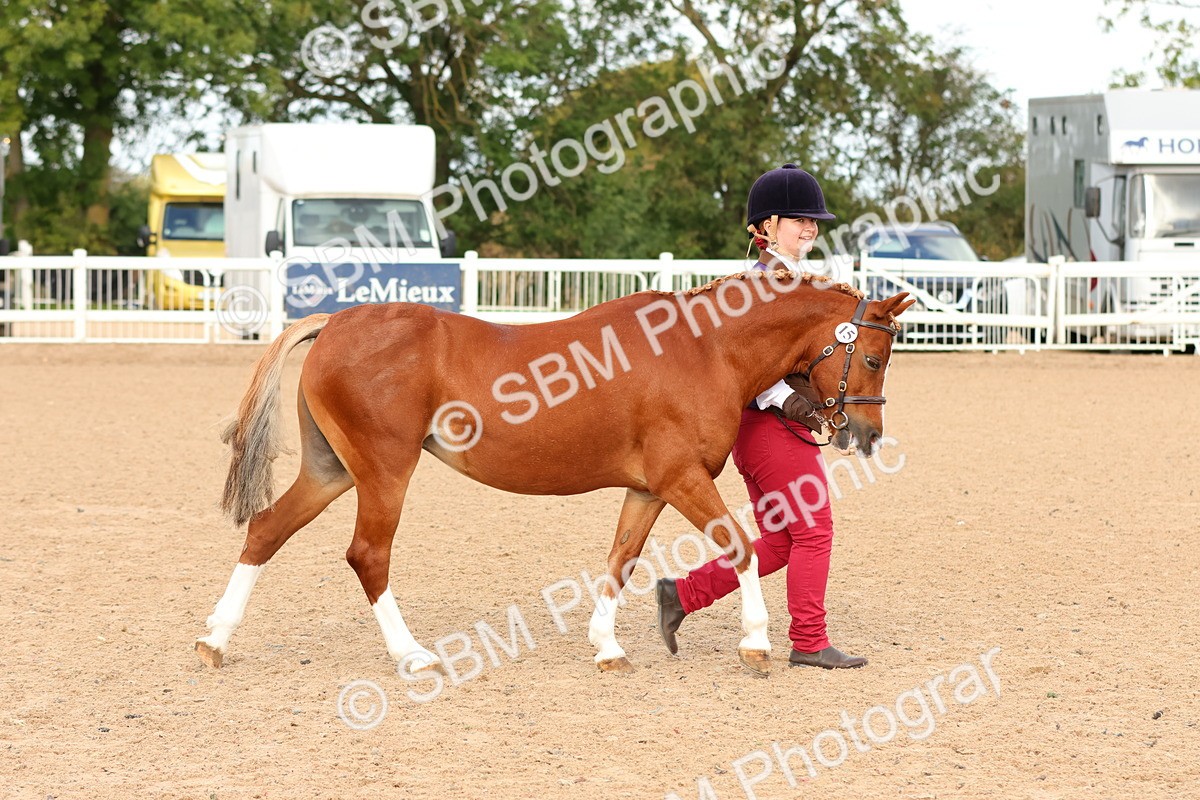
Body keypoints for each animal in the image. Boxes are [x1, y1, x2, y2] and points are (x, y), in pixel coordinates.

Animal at [194, 269, 914, 676]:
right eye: (874, 358)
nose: (868, 435)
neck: (705, 348)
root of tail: (336, 322)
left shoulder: (647, 488)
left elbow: (621, 559)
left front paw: (607, 648)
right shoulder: (681, 479)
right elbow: (739, 547)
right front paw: (757, 645)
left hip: (331, 470)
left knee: (266, 529)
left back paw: (215, 640)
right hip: (383, 472)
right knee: (367, 554)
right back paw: (412, 655)